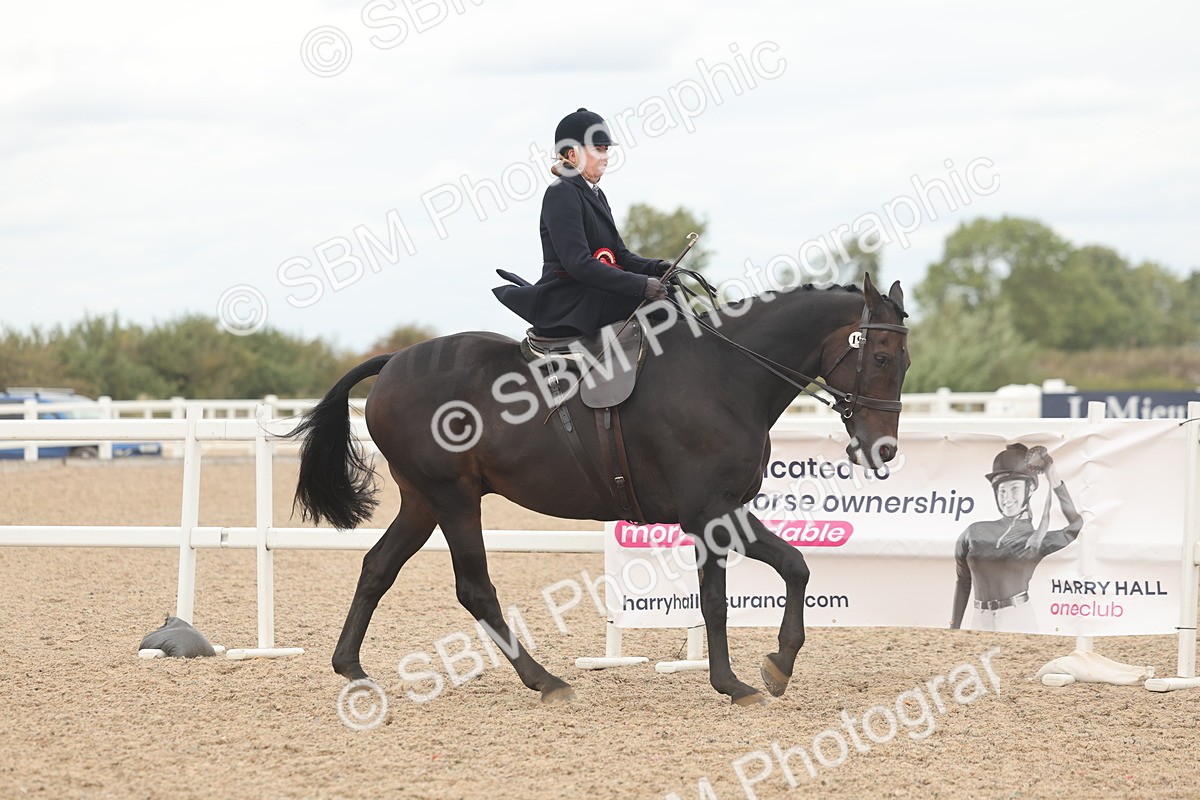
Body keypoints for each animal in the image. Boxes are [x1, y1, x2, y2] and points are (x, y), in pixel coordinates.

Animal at [289, 274, 910, 706]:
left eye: (904, 360)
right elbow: (776, 574)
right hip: (453, 499)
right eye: (879, 356)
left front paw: (743, 677)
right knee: (474, 588)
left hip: (423, 501)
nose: (882, 450)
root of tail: (395, 360)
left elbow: (736, 592)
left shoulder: (717, 515)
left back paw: (351, 669)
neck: (725, 377)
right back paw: (545, 680)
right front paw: (765, 669)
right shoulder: (712, 512)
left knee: (377, 567)